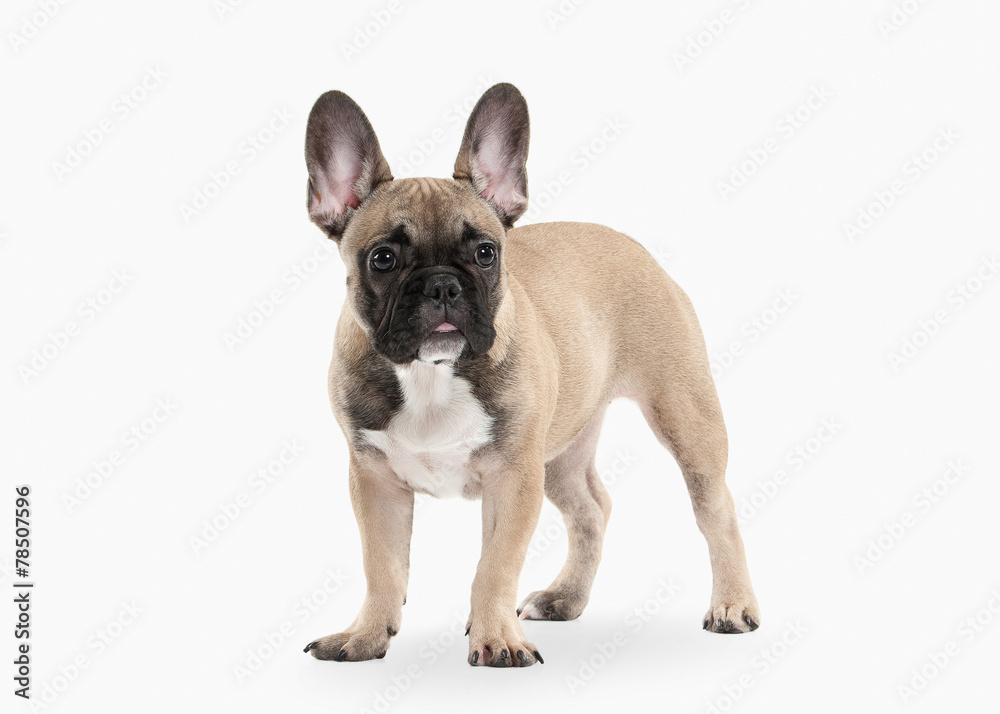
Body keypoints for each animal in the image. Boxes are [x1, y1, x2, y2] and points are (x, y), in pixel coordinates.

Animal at [296, 85, 756, 668]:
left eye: (486, 253)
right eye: (382, 259)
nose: (442, 285)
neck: (430, 373)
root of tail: (636, 247)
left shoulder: (513, 477)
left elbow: (493, 567)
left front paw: (495, 639)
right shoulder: (375, 482)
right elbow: (382, 566)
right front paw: (366, 635)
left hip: (684, 415)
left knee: (715, 509)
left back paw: (733, 605)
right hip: (559, 452)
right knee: (590, 510)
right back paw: (566, 598)